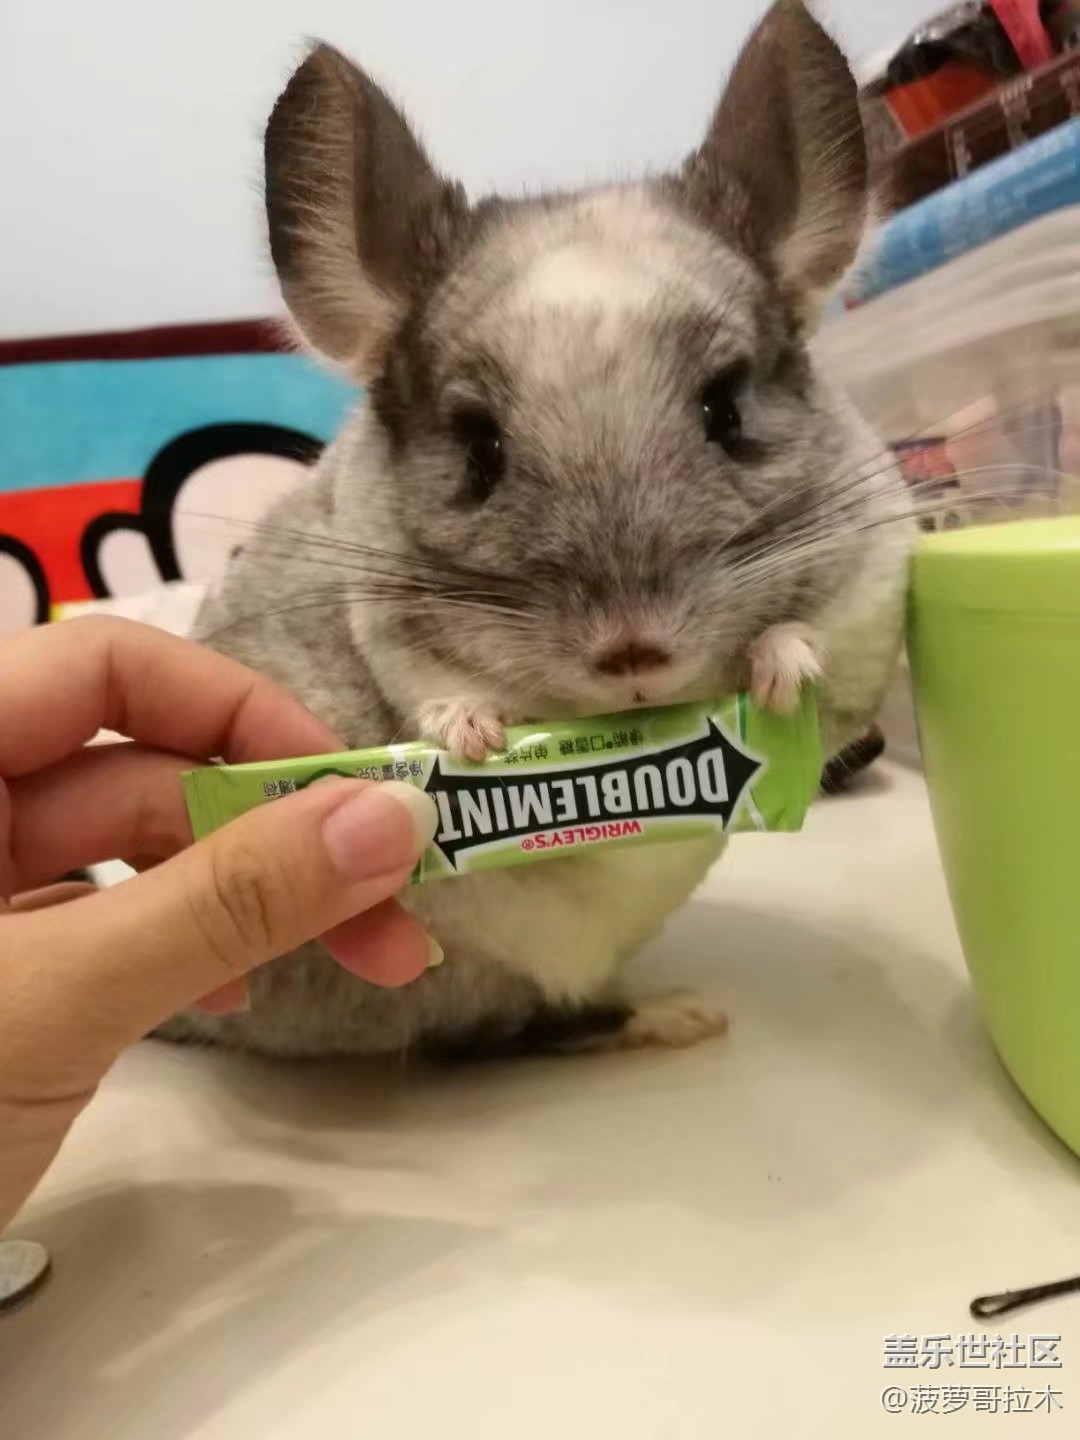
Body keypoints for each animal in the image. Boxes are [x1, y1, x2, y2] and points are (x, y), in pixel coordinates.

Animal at [159, 0, 914, 1060]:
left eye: (727, 408)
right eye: (479, 447)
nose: (633, 651)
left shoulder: (873, 592)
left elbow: (819, 654)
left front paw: (779, 663)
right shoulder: (383, 620)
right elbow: (432, 683)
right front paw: (471, 732)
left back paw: (679, 1016)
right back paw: (672, 1017)